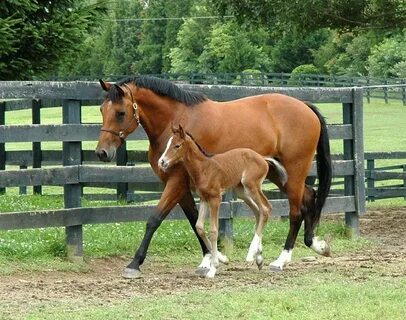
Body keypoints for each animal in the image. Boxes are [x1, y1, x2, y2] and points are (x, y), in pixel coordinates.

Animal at [157, 125, 288, 278]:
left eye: (177, 145)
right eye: (168, 144)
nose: (162, 162)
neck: (204, 168)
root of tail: (262, 158)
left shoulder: (215, 199)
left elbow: (214, 231)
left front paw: (213, 268)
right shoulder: (204, 198)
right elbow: (199, 227)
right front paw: (223, 259)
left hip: (251, 185)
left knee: (266, 208)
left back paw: (251, 255)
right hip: (241, 191)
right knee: (258, 211)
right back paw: (259, 257)